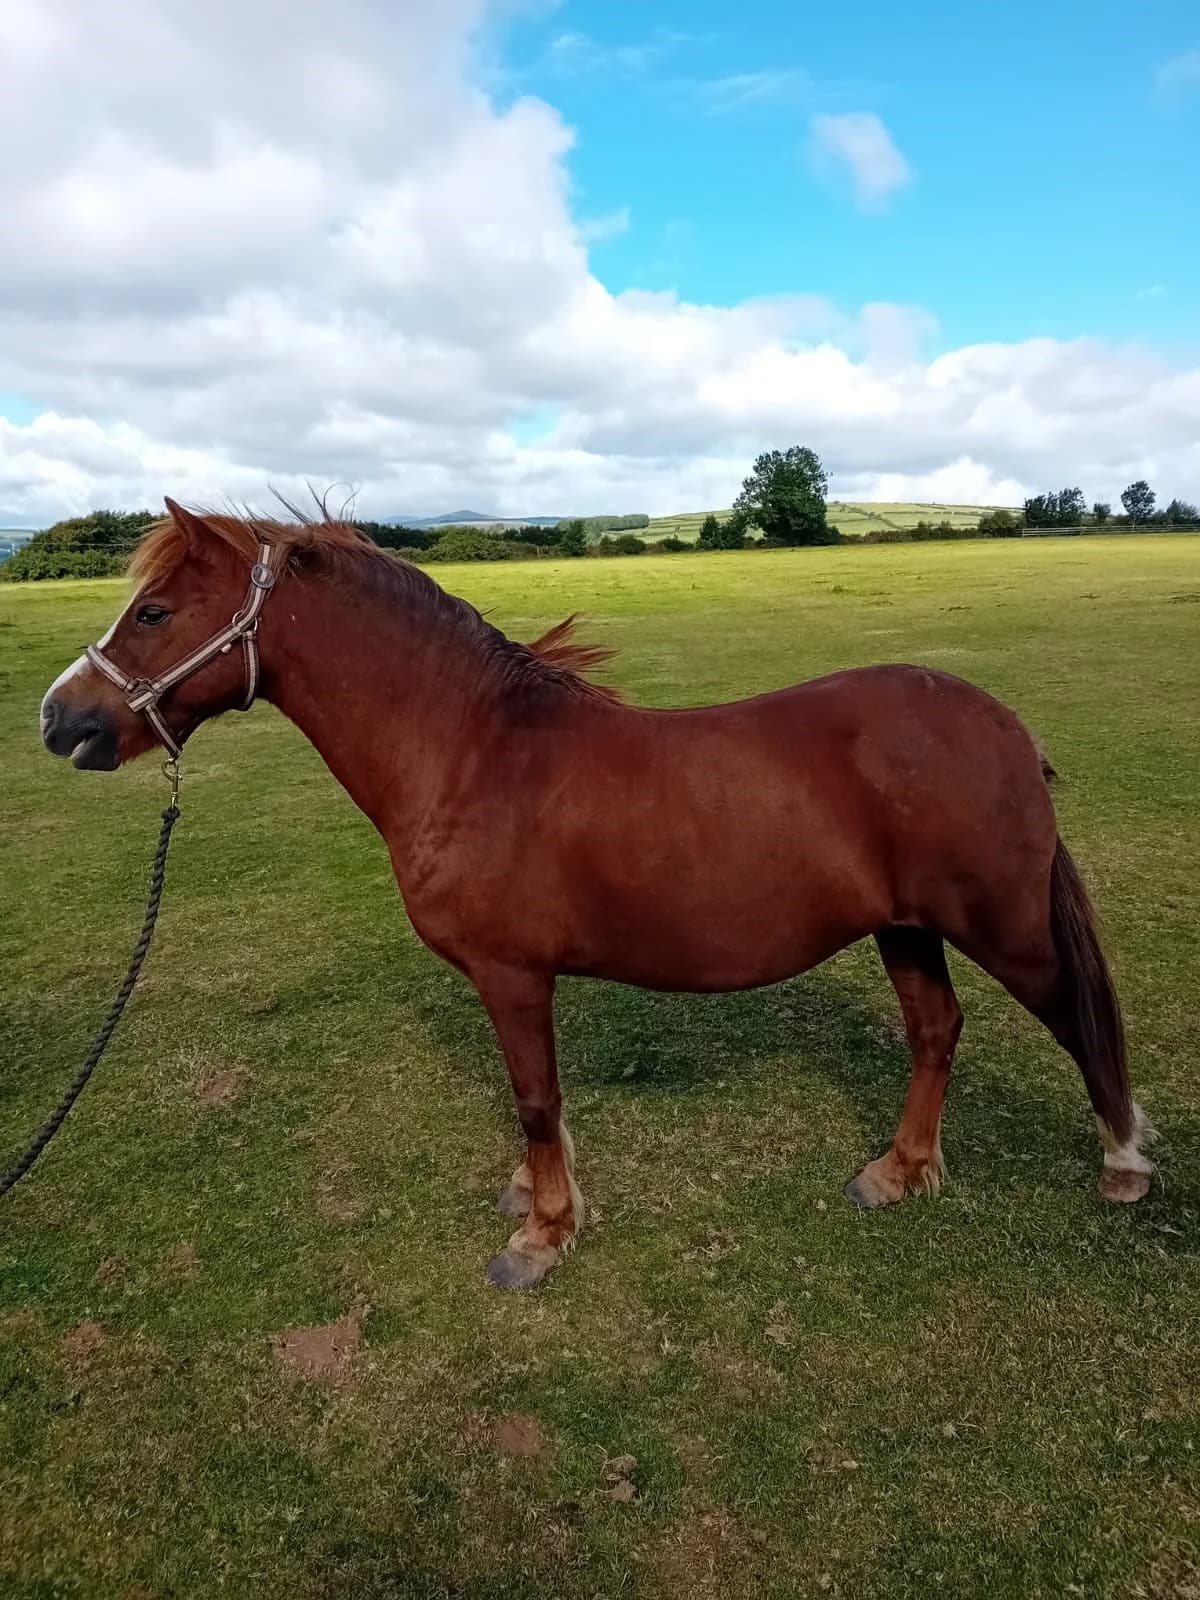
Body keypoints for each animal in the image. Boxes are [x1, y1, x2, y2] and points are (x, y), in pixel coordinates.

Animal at [39, 500, 1154, 1289]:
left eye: (154, 611)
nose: (61, 719)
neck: (473, 754)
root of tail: (1001, 726)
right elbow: (534, 1104)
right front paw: (536, 1196)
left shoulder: (512, 975)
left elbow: (536, 1098)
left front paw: (545, 1232)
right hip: (906, 929)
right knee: (936, 1029)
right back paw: (899, 1168)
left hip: (1001, 927)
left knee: (1078, 1021)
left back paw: (1126, 1163)